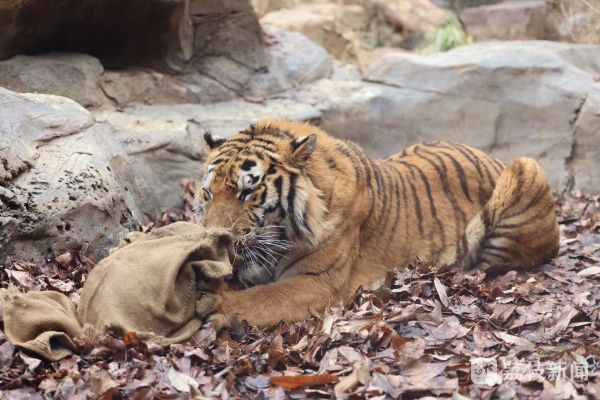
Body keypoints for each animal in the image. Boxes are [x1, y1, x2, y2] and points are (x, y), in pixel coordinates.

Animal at [195, 119, 560, 329]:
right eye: (208, 193)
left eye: (247, 191)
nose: (214, 238)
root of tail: (491, 155)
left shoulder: (318, 282)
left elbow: (261, 298)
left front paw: (215, 302)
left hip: (525, 169)